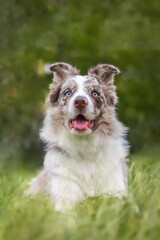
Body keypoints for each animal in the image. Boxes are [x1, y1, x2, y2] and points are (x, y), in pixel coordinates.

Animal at [28, 62, 129, 210]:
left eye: (95, 93)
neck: (84, 150)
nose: (80, 101)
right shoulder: (63, 195)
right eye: (68, 93)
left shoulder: (115, 190)